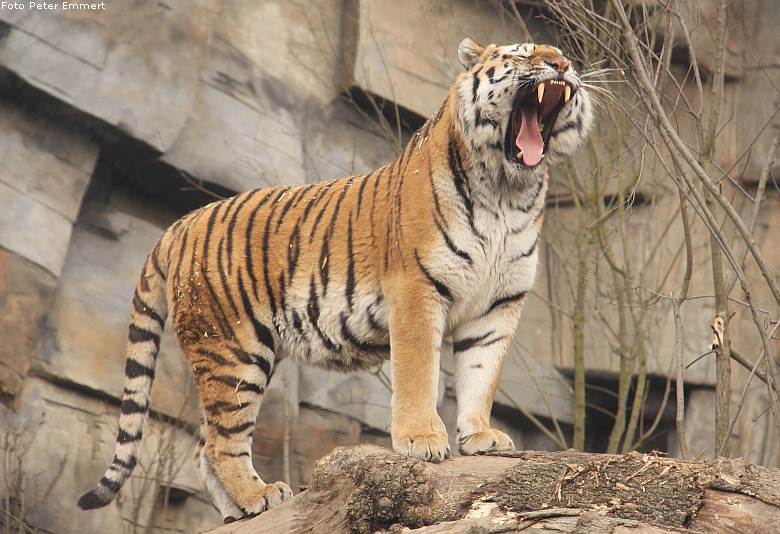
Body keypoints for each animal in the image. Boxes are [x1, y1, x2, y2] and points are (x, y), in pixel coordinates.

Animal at [77, 37, 592, 524]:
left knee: (207, 446)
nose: (563, 65)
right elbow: (418, 372)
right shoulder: (416, 289)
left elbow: (481, 373)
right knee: (222, 443)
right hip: (232, 351)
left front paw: (481, 436)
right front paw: (422, 440)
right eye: (521, 54)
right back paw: (261, 496)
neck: (507, 192)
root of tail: (179, 225)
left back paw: (240, 510)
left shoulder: (498, 304)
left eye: (563, 55)